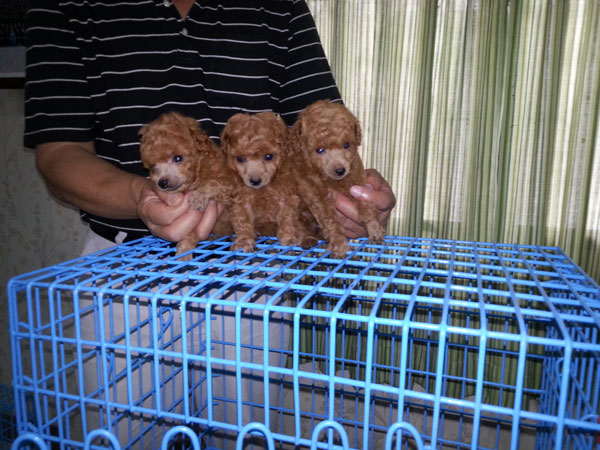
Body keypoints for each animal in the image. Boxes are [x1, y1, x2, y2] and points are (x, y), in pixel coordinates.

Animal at [139, 111, 231, 257]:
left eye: (178, 158)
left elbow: (214, 182)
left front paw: (198, 197)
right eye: (153, 166)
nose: (162, 182)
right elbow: (189, 233)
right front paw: (184, 252)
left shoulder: (230, 182)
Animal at [220, 111, 317, 252]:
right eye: (240, 158)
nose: (255, 181)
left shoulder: (287, 198)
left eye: (268, 156)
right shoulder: (240, 200)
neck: (262, 189)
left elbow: (287, 219)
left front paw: (289, 238)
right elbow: (242, 221)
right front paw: (243, 241)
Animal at [291, 100, 385, 257]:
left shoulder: (358, 180)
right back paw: (307, 240)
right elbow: (331, 221)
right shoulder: (317, 197)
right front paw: (339, 245)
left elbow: (366, 205)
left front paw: (375, 228)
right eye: (319, 150)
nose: (340, 170)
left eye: (346, 145)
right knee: (299, 227)